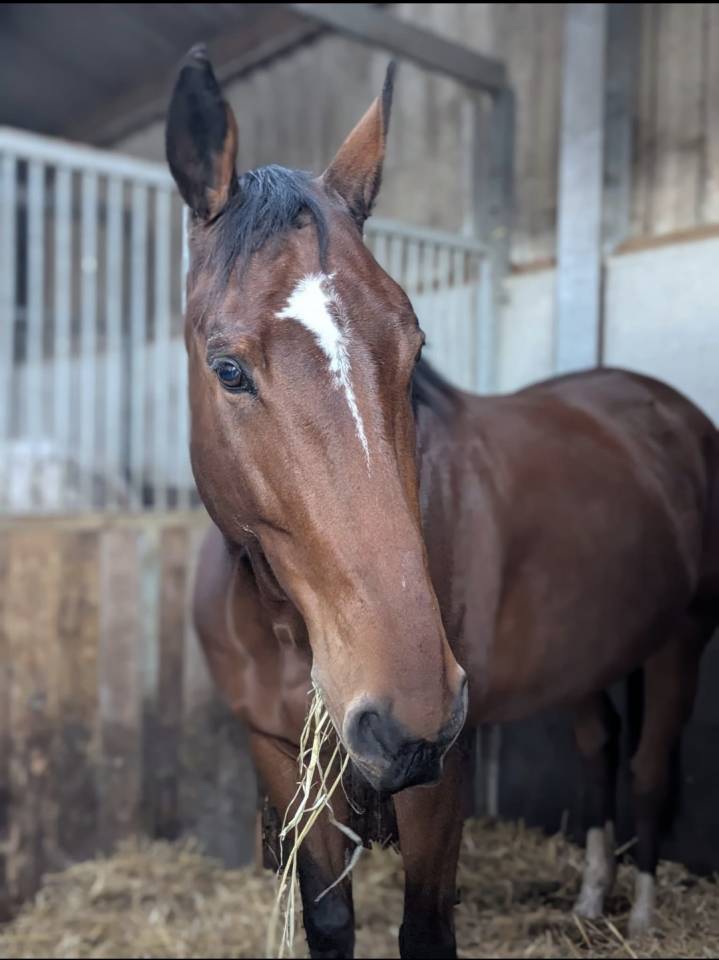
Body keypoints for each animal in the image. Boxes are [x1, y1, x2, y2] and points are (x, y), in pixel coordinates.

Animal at [166, 46, 719, 959]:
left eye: (412, 346)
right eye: (227, 368)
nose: (409, 710)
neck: (286, 625)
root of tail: (666, 409)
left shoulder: (441, 778)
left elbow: (425, 931)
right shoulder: (280, 755)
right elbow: (328, 921)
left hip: (681, 640)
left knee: (646, 768)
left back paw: (637, 917)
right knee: (600, 750)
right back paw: (589, 901)